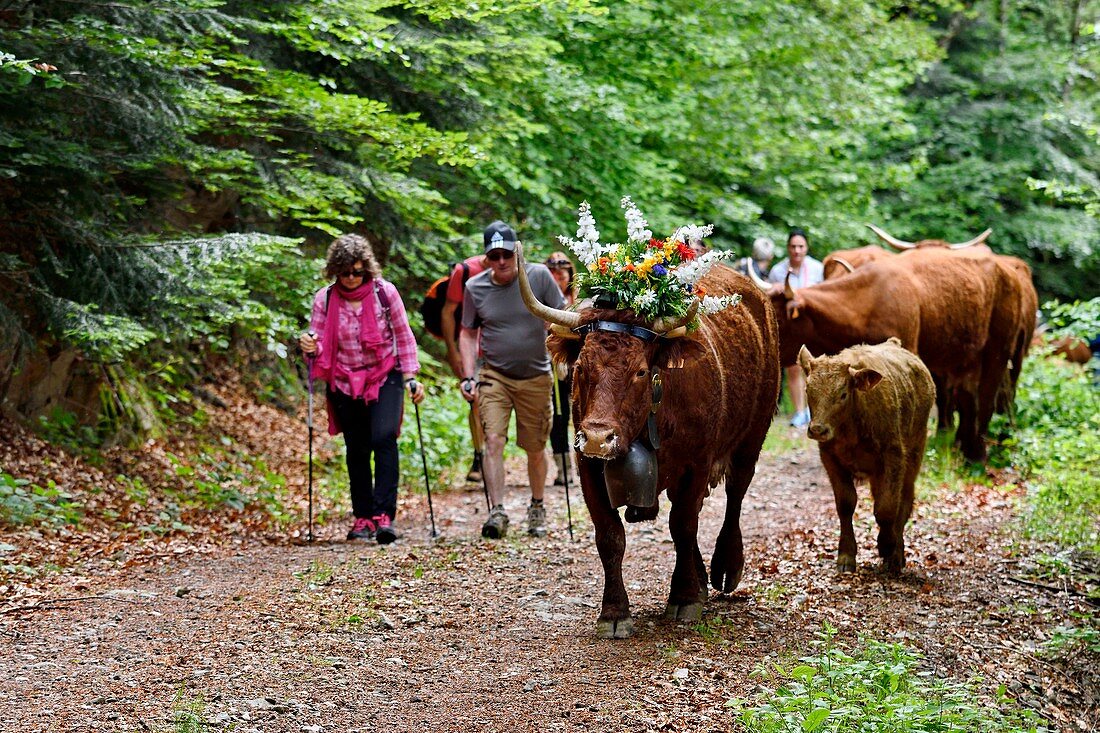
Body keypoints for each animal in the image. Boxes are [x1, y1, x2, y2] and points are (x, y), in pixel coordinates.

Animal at [517, 197, 783, 638]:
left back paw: (724, 569)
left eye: (641, 371)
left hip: (753, 436)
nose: (598, 437)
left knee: (734, 495)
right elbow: (610, 535)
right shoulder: (587, 467)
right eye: (582, 367)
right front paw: (614, 612)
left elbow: (683, 525)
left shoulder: (697, 462)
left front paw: (685, 599)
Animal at [800, 336, 937, 572]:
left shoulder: (894, 457)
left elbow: (887, 507)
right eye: (808, 390)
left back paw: (896, 555)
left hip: (914, 456)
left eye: (843, 394)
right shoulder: (831, 459)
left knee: (905, 500)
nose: (818, 429)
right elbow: (846, 504)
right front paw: (846, 556)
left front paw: (886, 546)